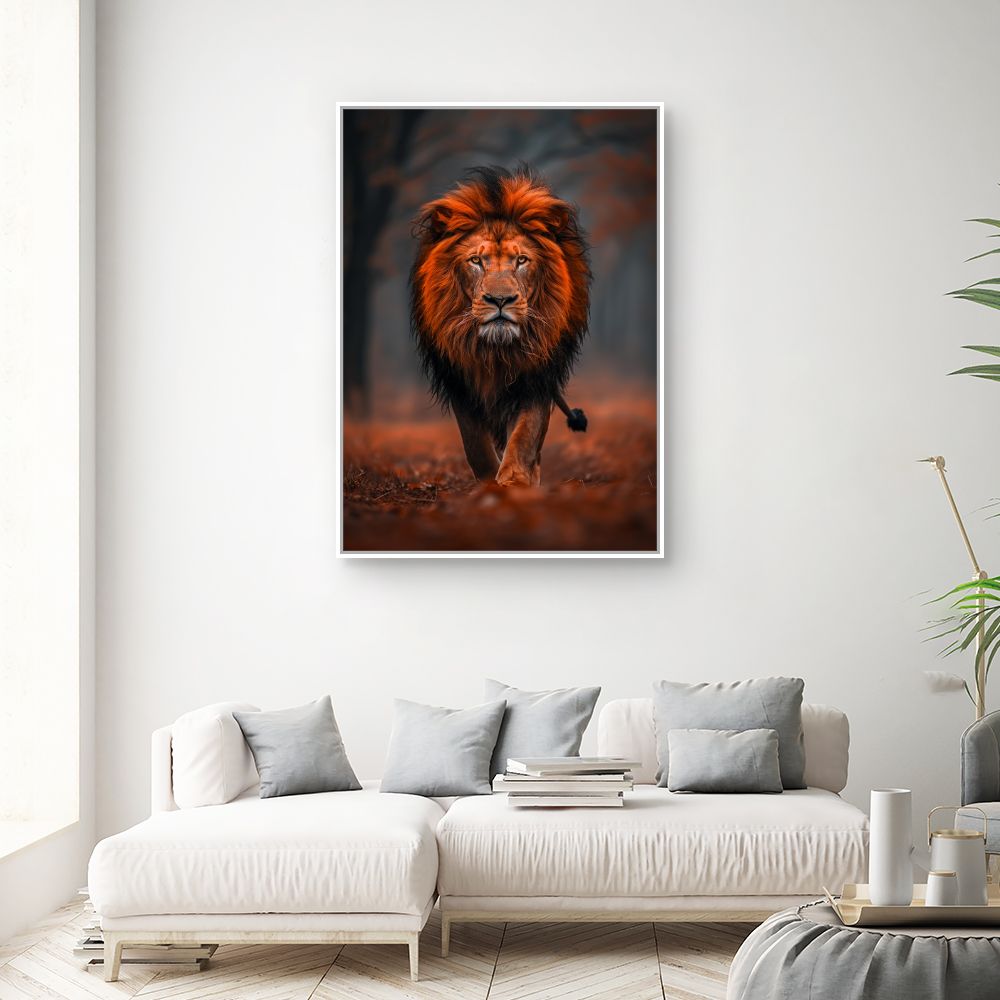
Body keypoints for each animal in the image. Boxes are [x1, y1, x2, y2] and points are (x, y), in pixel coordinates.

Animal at [410, 165, 591, 487]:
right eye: (475, 260)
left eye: (521, 260)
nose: (500, 300)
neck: (495, 352)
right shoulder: (460, 380)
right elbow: (475, 444)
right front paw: (489, 484)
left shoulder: (536, 376)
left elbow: (525, 435)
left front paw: (515, 482)